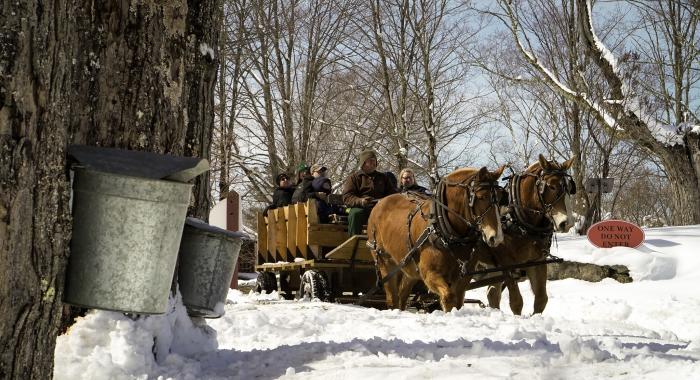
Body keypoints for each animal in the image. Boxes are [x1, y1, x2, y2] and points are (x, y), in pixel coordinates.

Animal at [366, 166, 504, 312]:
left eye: (500, 198)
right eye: (481, 197)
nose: (496, 237)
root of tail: (379, 203)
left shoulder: (463, 277)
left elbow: (458, 301)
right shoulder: (430, 273)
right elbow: (449, 298)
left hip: (409, 266)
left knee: (402, 295)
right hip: (384, 260)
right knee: (392, 298)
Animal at [474, 154, 576, 314]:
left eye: (570, 187)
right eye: (552, 186)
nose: (568, 223)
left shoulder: (537, 261)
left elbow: (541, 299)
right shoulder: (506, 264)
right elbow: (516, 302)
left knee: (492, 294)